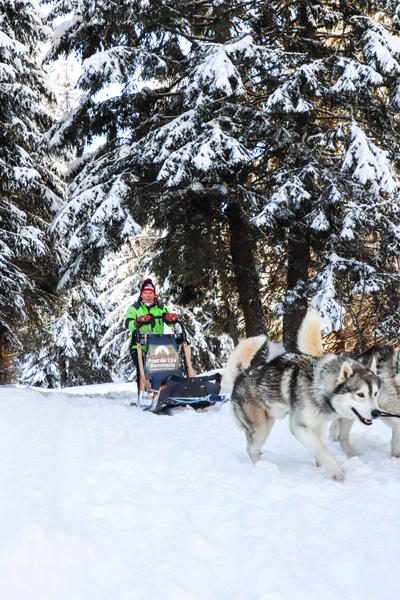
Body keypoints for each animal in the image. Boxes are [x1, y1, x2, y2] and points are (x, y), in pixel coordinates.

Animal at [230, 312, 380, 480]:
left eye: (375, 393)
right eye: (360, 394)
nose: (377, 413)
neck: (318, 385)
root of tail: (240, 376)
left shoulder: (319, 425)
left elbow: (320, 448)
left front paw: (321, 467)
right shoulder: (299, 427)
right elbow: (322, 450)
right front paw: (338, 473)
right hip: (260, 429)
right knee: (251, 449)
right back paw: (264, 468)